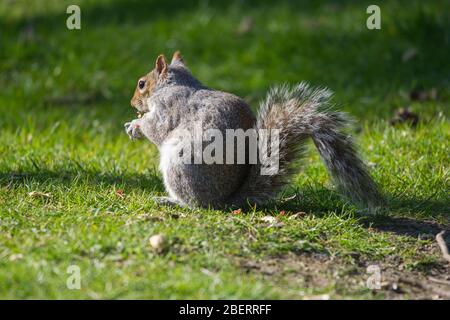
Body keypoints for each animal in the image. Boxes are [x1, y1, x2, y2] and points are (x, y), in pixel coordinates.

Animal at [124, 51, 384, 211]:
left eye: (141, 84)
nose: (132, 102)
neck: (172, 85)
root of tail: (225, 201)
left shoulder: (169, 108)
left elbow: (157, 127)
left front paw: (136, 125)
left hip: (179, 164)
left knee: (196, 204)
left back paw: (171, 200)